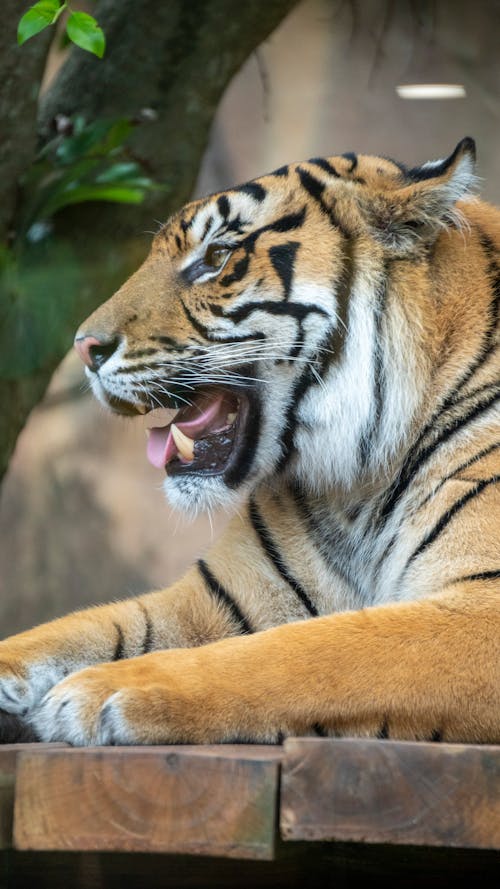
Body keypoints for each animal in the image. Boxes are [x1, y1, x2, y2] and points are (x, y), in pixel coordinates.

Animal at [0, 139, 498, 744]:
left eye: (216, 257)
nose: (83, 348)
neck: (356, 485)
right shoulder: (214, 598)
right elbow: (71, 629)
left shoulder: (484, 604)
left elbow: (303, 652)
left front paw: (101, 691)